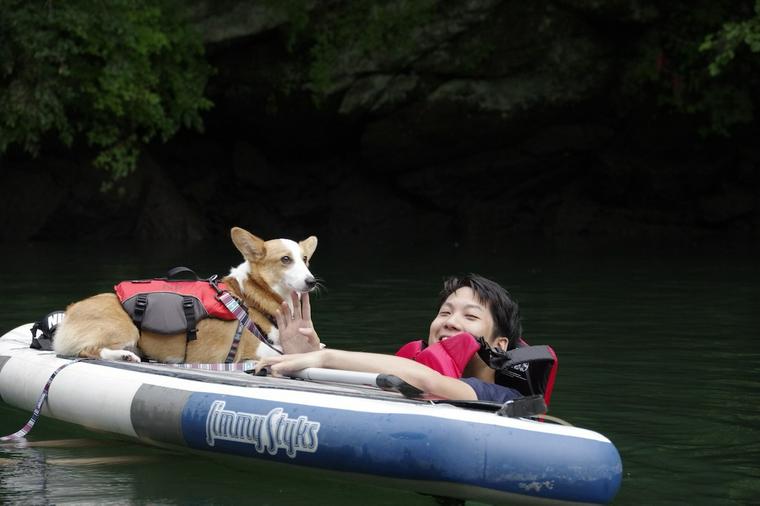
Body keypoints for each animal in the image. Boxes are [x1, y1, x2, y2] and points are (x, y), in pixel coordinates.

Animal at [52, 226, 316, 364]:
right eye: (285, 259)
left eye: (305, 259)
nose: (312, 282)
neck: (250, 300)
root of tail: (69, 312)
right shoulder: (216, 356)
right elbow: (276, 351)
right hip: (125, 329)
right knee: (86, 350)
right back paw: (124, 356)